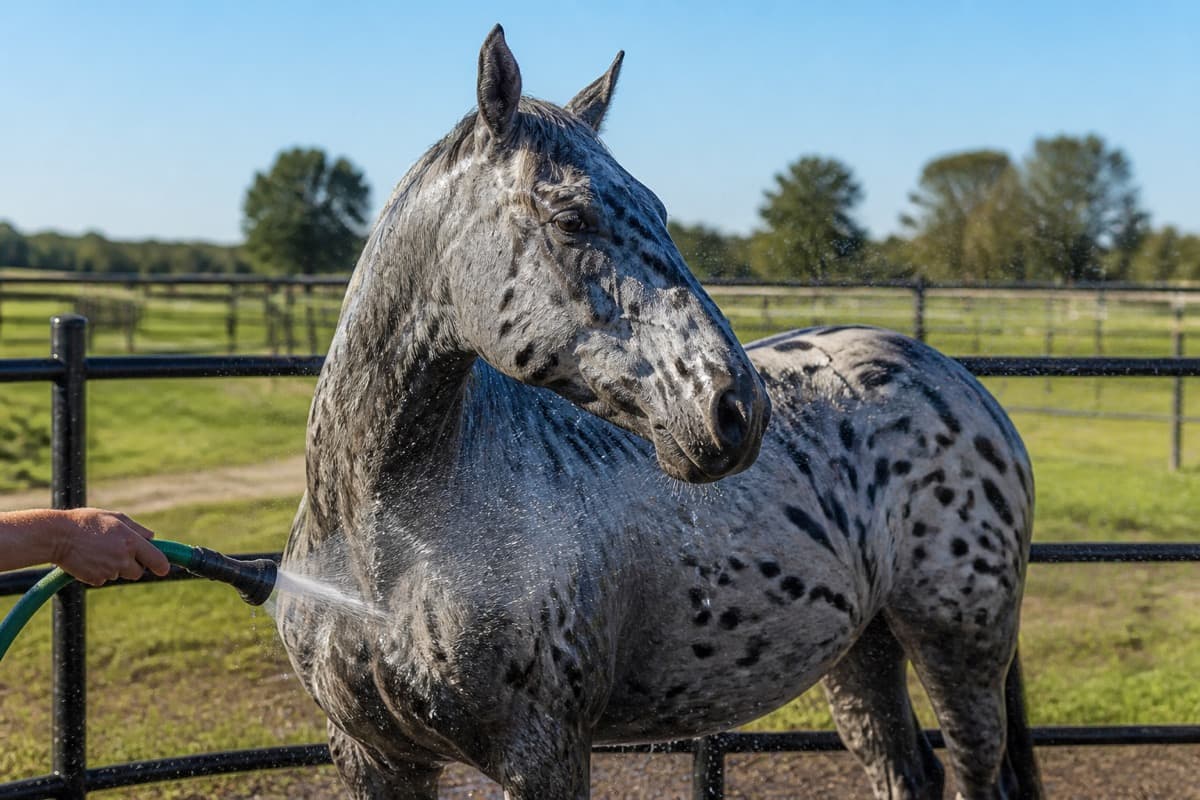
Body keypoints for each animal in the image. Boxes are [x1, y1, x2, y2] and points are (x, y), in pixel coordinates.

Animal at [278, 25, 1042, 800]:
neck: (388, 545)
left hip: (959, 648)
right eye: (572, 218)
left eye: (659, 210)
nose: (737, 409)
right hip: (866, 652)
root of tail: (959, 381)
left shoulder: (543, 756)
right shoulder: (372, 758)